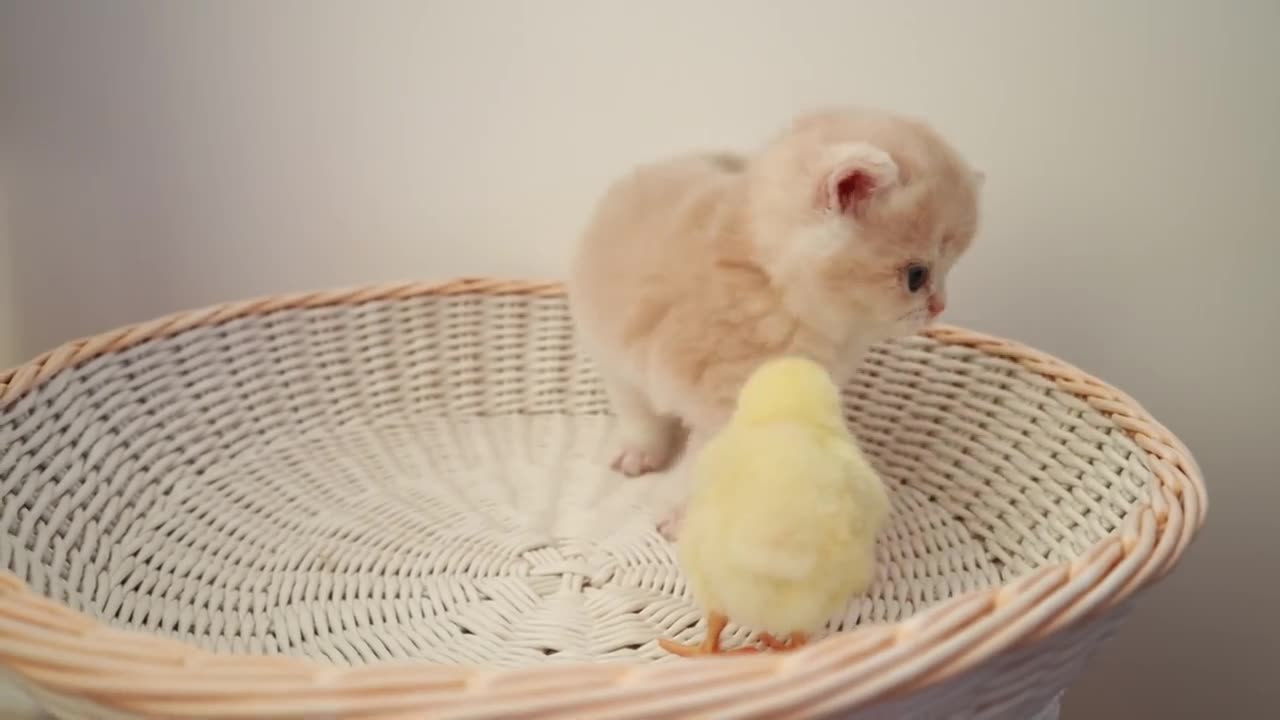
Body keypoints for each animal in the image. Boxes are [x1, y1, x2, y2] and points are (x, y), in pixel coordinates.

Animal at [568, 106, 977, 530]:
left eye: (948, 267)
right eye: (917, 276)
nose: (940, 305)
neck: (771, 285)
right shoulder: (723, 402)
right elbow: (686, 452)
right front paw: (683, 512)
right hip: (610, 350)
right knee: (637, 409)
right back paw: (639, 451)